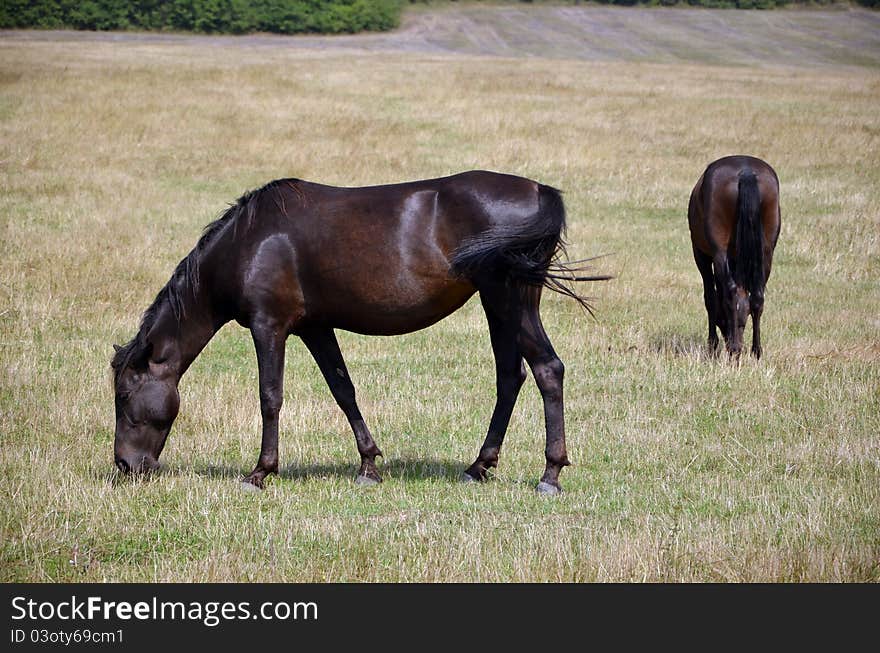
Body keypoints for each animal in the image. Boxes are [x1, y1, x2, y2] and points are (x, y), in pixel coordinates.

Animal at [110, 171, 608, 492]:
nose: (125, 465)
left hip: (509, 300)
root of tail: (539, 190)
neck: (250, 241)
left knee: (547, 370)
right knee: (511, 376)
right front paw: (368, 465)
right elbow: (342, 390)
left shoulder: (269, 327)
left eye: (123, 395)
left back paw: (550, 474)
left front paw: (261, 472)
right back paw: (479, 467)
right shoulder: (316, 328)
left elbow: (270, 397)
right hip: (499, 304)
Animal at [688, 156, 784, 360]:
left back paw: (734, 350)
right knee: (757, 296)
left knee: (730, 291)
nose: (731, 337)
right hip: (766, 253)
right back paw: (756, 351)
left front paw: (712, 346)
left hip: (718, 252)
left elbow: (710, 297)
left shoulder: (701, 255)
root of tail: (745, 172)